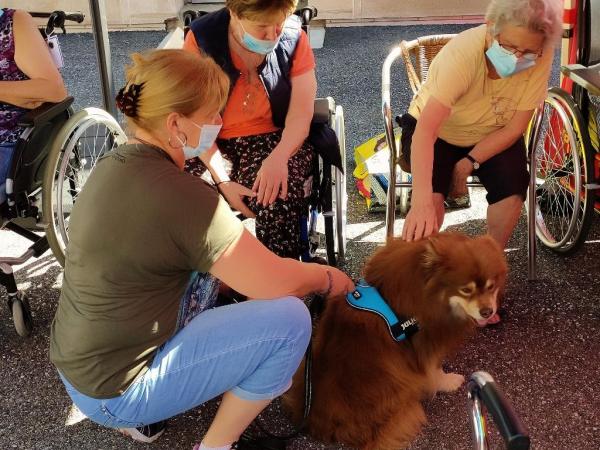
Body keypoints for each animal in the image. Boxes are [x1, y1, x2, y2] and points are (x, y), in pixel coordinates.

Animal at [284, 232, 506, 450]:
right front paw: (448, 381)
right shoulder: (424, 343)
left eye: (491, 286)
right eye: (466, 290)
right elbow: (434, 370)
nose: (488, 311)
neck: (428, 292)